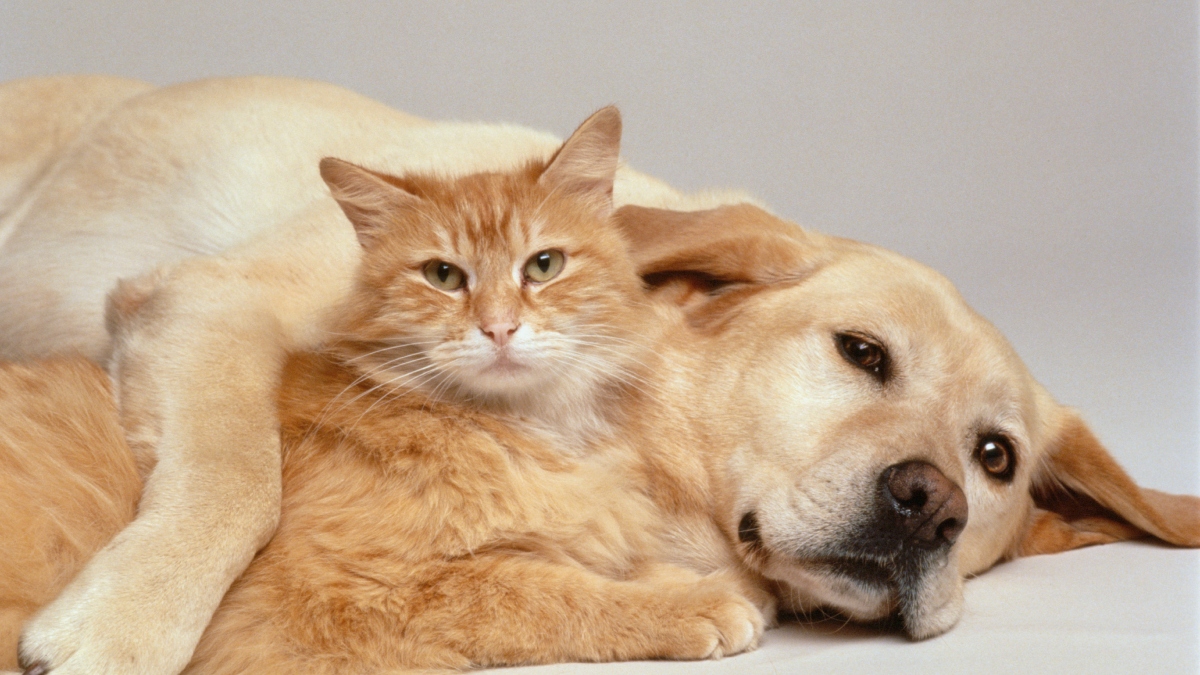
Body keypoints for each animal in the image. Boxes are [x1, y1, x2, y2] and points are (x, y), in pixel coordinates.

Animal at [0, 74, 1195, 672]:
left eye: (995, 459)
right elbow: (237, 481)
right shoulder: (208, 302)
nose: (930, 504)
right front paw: (125, 624)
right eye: (863, 352)